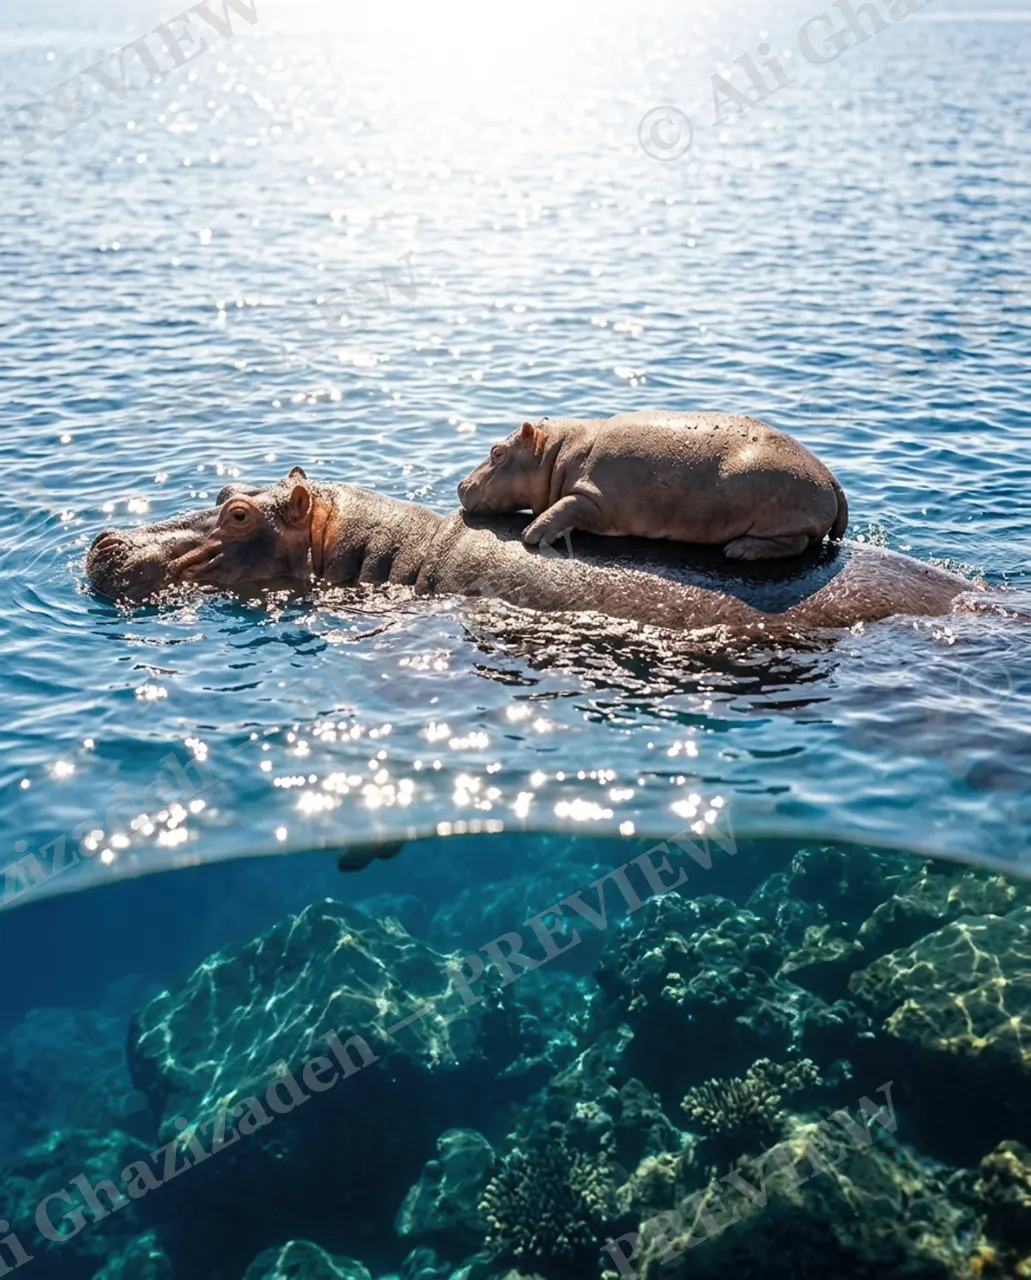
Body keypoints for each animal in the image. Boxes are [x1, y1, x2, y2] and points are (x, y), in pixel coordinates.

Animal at [457, 411, 849, 560]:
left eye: (497, 452)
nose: (460, 483)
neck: (555, 454)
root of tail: (831, 477)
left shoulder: (593, 497)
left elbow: (564, 506)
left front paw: (531, 534)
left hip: (786, 517)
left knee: (796, 542)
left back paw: (740, 550)